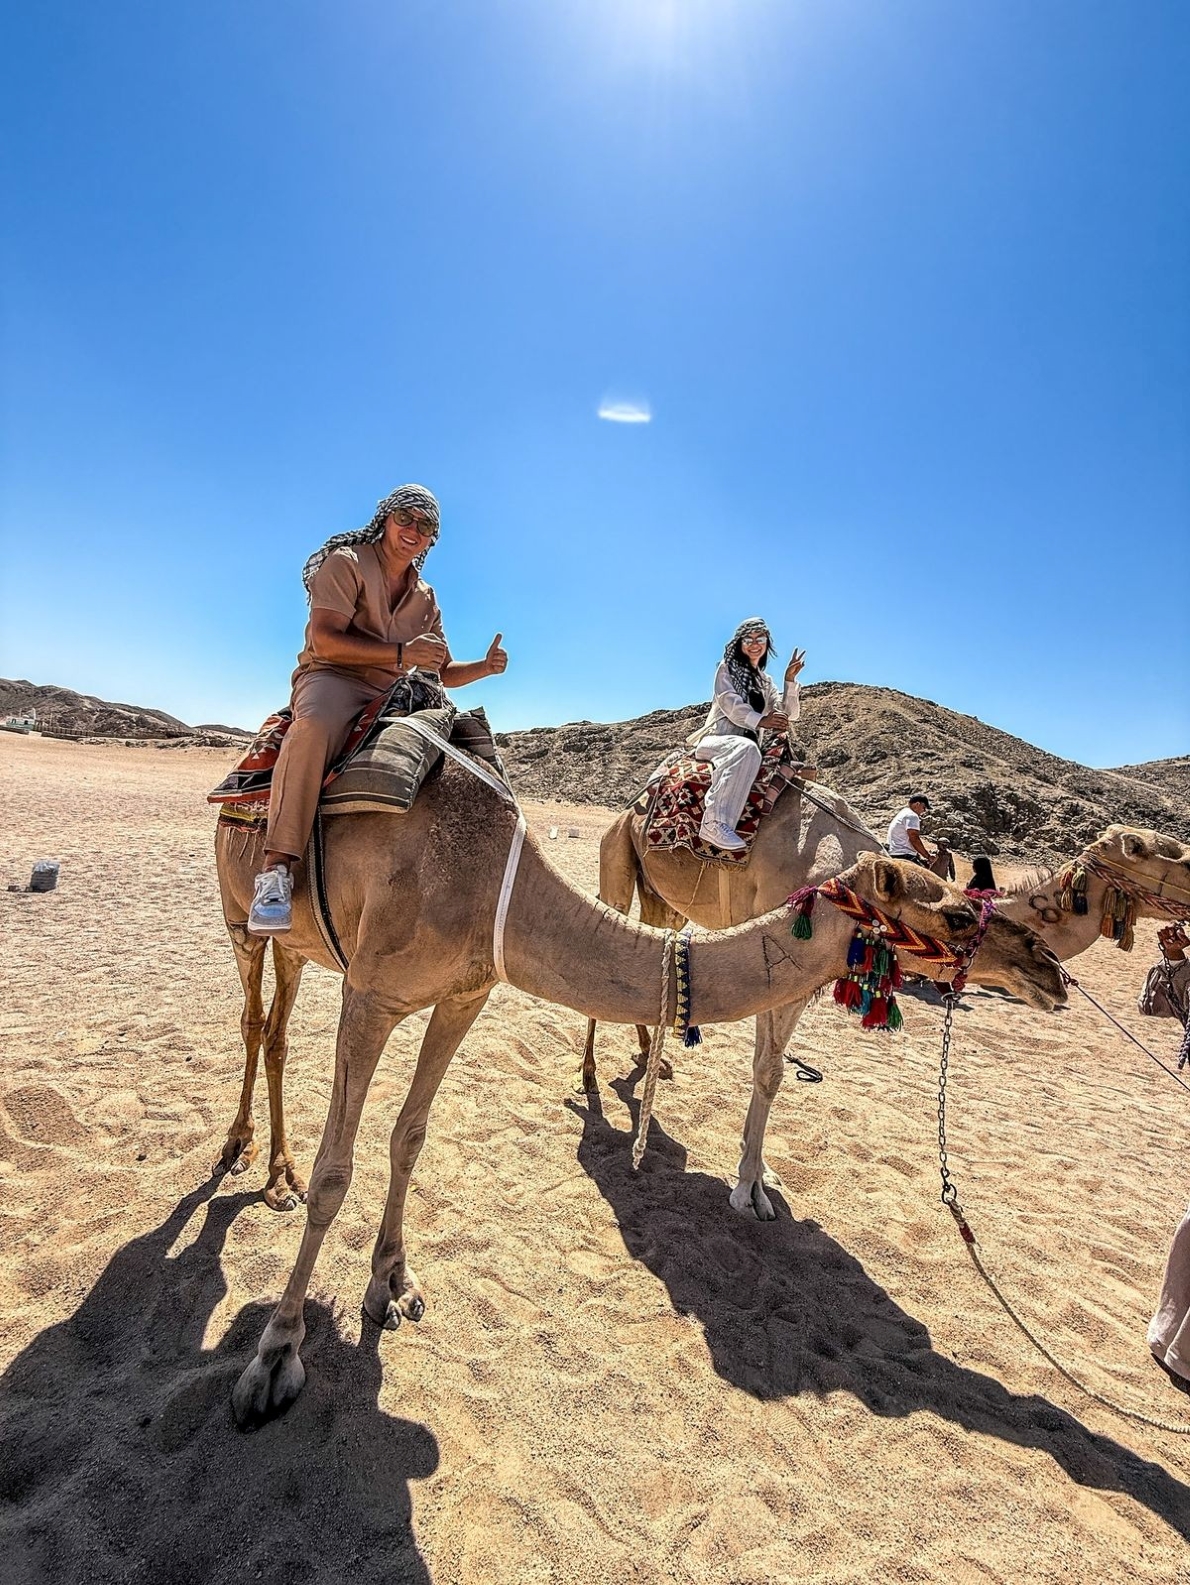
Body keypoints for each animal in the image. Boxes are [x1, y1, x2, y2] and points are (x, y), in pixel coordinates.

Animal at [215, 762, 1065, 1425]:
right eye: (952, 909)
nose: (1049, 967)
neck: (490, 891)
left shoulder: (465, 990)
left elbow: (410, 1136)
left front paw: (392, 1283)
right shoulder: (372, 995)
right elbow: (336, 1171)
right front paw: (277, 1354)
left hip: (305, 940)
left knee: (280, 1025)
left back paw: (275, 1172)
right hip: (242, 914)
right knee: (257, 1022)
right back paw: (250, 1159)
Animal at [585, 782, 1190, 1218]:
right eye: (1166, 852)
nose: (1048, 971)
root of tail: (634, 805)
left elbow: (770, 1069)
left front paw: (762, 1174)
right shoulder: (786, 959)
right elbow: (769, 1071)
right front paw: (748, 1191)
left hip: (665, 896)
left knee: (657, 938)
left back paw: (653, 1057)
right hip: (617, 855)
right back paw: (591, 1073)